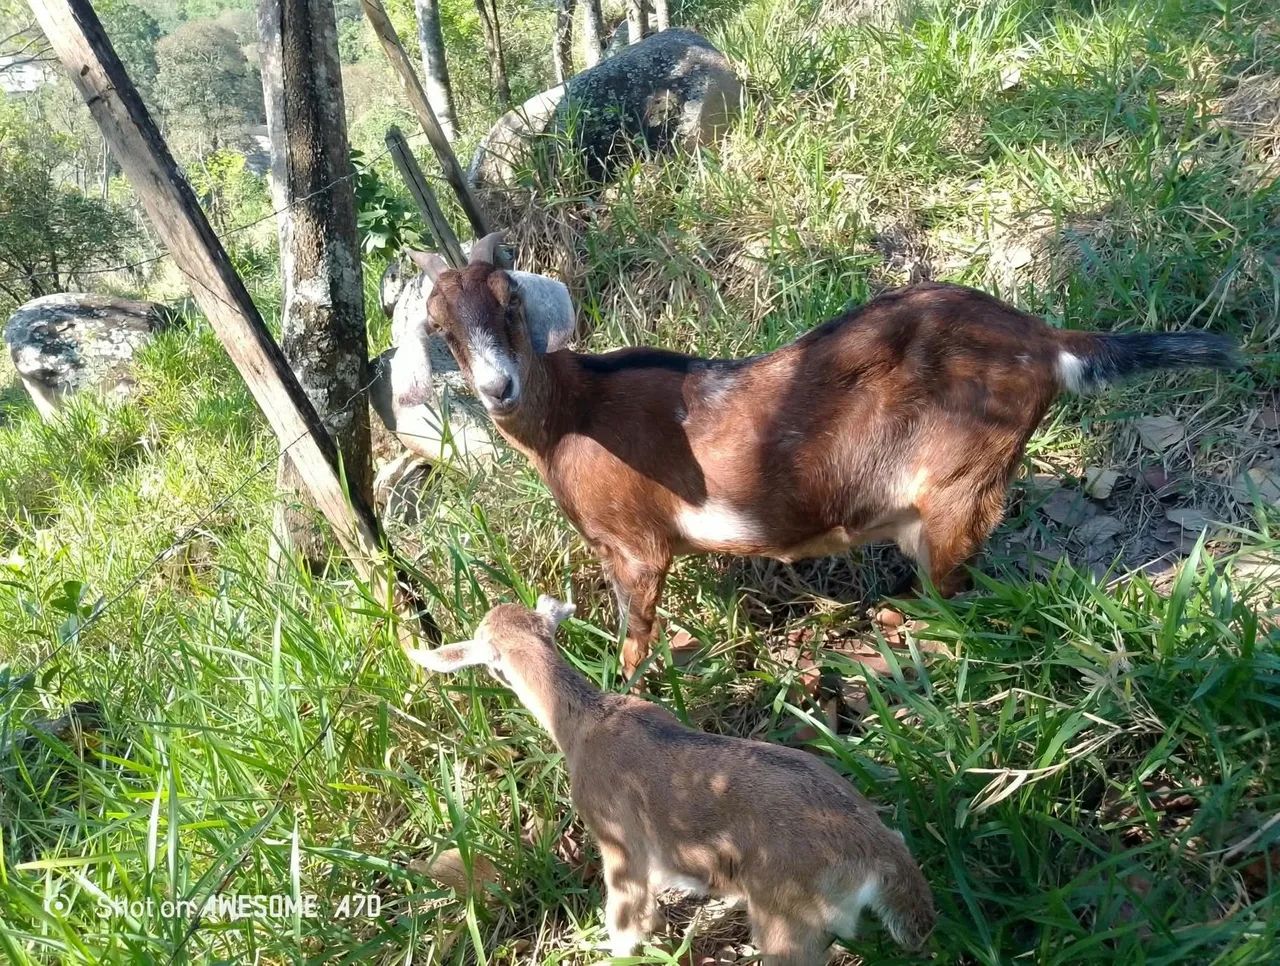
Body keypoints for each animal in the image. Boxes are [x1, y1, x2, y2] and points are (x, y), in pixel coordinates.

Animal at [412, 233, 1242, 681]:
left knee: (961, 601)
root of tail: (1045, 341)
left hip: (961, 481)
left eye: (512, 303)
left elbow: (635, 638)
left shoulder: (635, 544)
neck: (575, 411)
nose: (498, 388)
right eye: (440, 326)